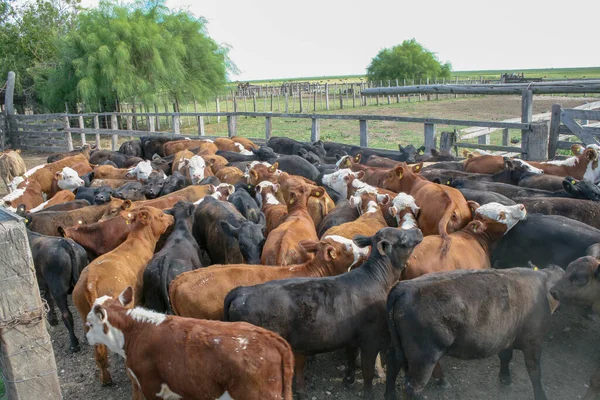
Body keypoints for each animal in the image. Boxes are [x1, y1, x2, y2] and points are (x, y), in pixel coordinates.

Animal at [73, 205, 173, 386]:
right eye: (161, 215)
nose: (172, 217)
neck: (140, 240)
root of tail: (91, 278)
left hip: (86, 318)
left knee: (99, 353)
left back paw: (106, 378)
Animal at [223, 227, 424, 398]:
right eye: (402, 238)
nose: (418, 230)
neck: (378, 280)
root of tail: (242, 291)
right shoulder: (370, 338)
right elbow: (367, 371)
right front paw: (368, 393)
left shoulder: (351, 336)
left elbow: (351, 357)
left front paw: (349, 378)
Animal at [386, 266, 564, 400]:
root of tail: (404, 287)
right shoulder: (534, 341)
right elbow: (535, 372)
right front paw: (541, 395)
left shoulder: (507, 335)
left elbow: (506, 356)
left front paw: (505, 378)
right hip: (424, 358)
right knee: (412, 388)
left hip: (396, 348)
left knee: (392, 370)